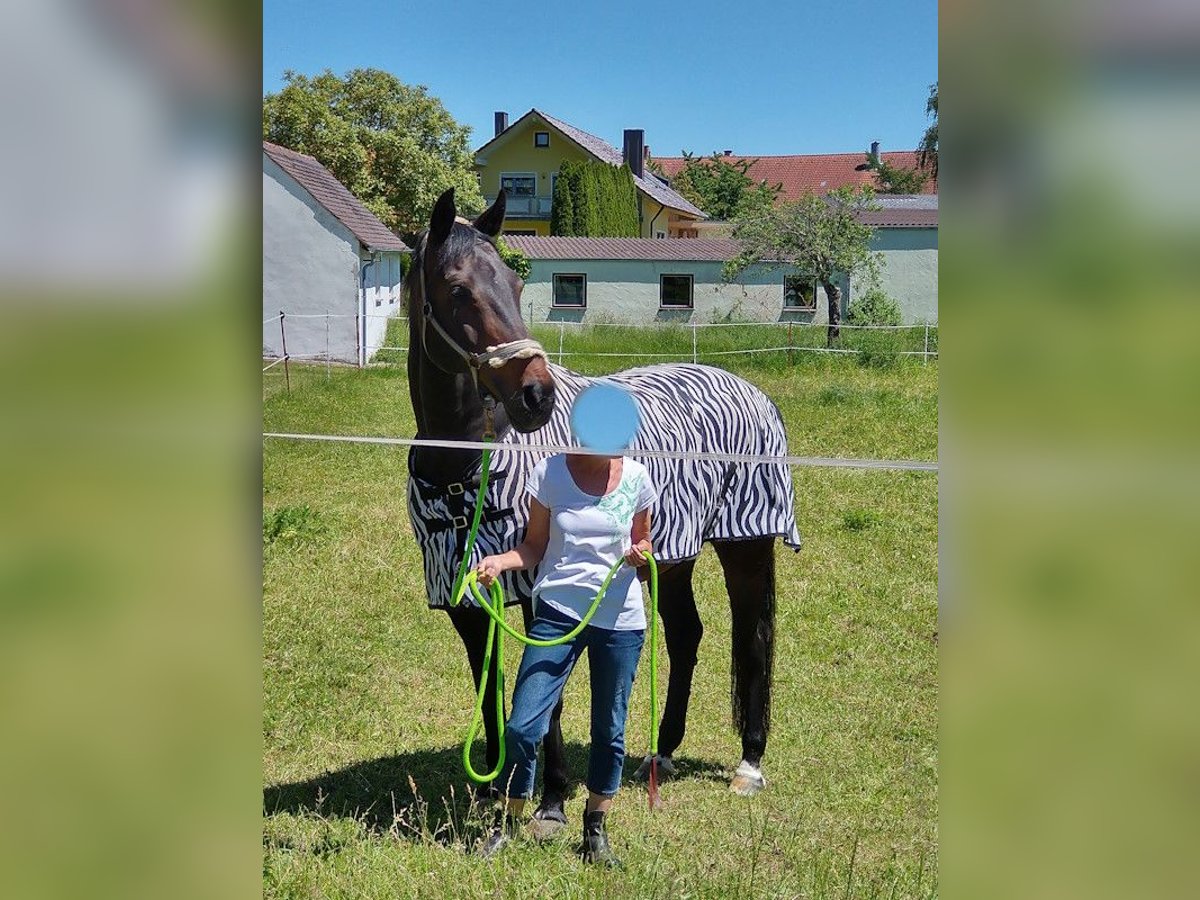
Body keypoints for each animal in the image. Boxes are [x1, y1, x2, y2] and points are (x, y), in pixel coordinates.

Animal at [405, 188, 806, 840]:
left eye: (515, 285)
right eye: (458, 288)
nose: (536, 395)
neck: (469, 465)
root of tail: (747, 389)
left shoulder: (542, 588)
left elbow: (548, 693)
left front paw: (550, 801)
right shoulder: (464, 597)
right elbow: (490, 684)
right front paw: (493, 781)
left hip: (745, 546)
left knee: (753, 636)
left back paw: (749, 763)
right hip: (670, 557)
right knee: (687, 634)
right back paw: (663, 751)